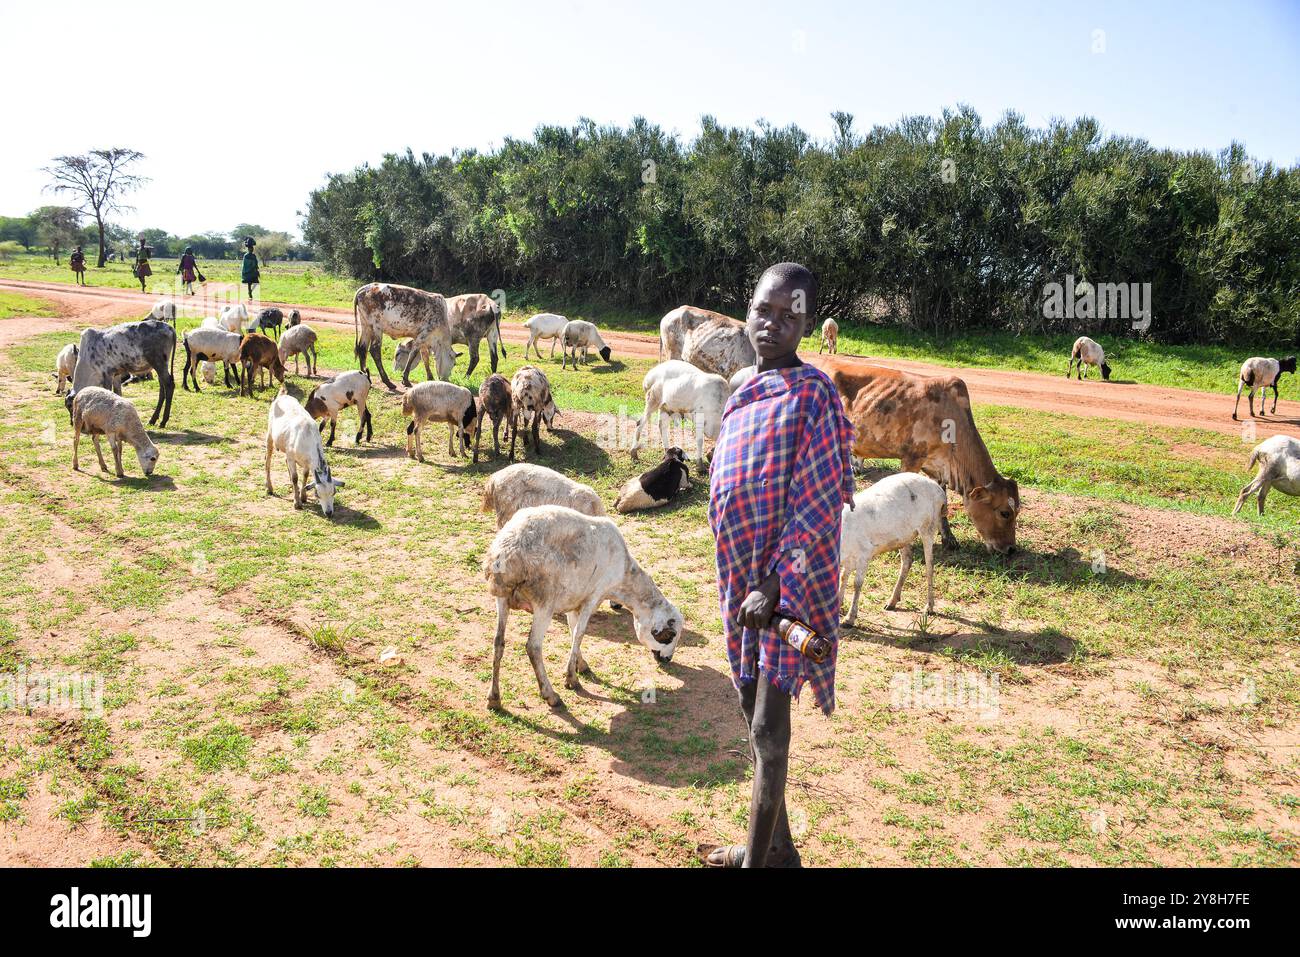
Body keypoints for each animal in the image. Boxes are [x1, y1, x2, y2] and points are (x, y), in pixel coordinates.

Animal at [486, 504, 686, 707]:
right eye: (670, 635)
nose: (667, 659)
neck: (624, 578)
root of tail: (507, 554)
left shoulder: (574, 601)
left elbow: (573, 631)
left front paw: (580, 665)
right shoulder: (593, 597)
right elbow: (579, 633)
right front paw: (571, 679)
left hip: (502, 599)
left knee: (498, 642)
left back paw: (494, 698)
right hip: (544, 601)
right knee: (533, 647)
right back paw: (550, 694)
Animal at [806, 356, 1019, 553]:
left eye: (1017, 510)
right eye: (1004, 513)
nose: (1010, 549)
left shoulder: (937, 468)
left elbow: (943, 503)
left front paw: (949, 539)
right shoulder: (911, 459)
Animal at [842, 470, 946, 629]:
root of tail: (940, 491)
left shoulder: (864, 554)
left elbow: (857, 584)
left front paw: (849, 619)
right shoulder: (848, 558)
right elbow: (843, 578)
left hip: (929, 526)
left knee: (930, 565)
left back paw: (929, 607)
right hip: (904, 536)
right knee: (907, 560)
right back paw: (892, 601)